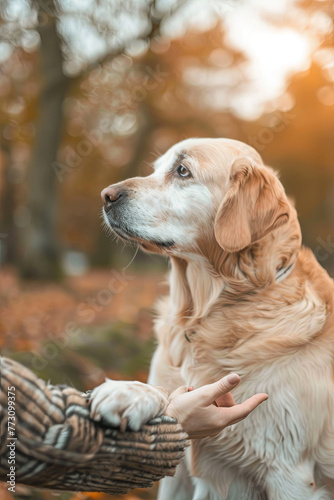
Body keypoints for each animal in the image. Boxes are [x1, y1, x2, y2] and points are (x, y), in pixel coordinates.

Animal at [97, 139, 334, 500]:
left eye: (182, 170)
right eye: (155, 168)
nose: (106, 195)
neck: (203, 317)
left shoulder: (289, 473)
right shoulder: (178, 475)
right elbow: (167, 394)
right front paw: (129, 393)